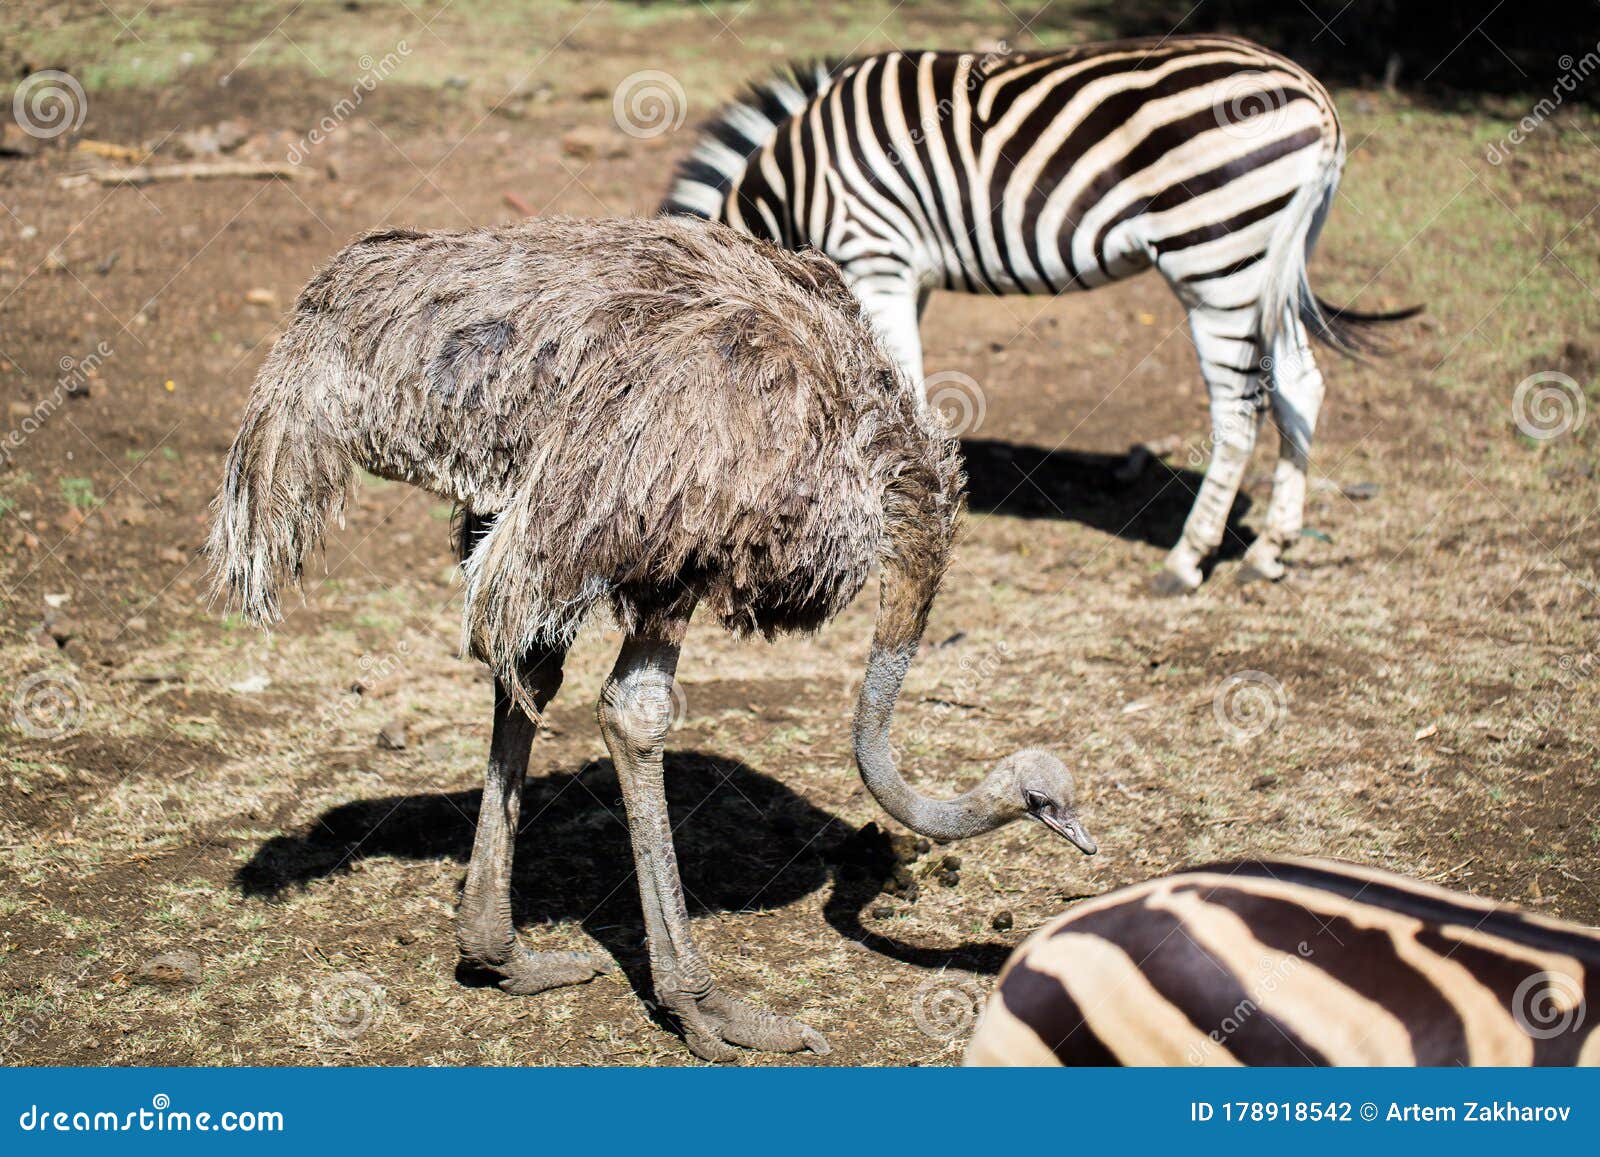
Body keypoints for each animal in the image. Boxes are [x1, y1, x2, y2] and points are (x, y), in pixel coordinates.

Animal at [663, 36, 1418, 594]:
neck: (797, 183)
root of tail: (1313, 93)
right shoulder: (905, 275)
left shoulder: (877, 256)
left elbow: (895, 388)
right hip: (1274, 260)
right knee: (1300, 384)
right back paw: (1270, 549)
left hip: (1216, 257)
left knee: (1239, 410)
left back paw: (1185, 560)